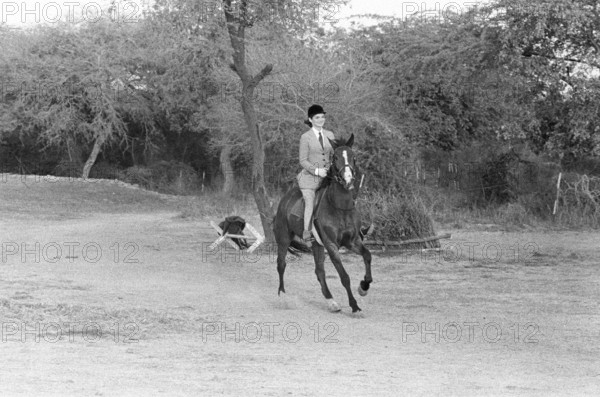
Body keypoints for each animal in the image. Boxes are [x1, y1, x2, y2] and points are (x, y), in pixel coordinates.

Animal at [274, 134, 372, 312]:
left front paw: (363, 287)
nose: (348, 180)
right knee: (281, 264)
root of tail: (285, 198)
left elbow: (367, 256)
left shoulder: (352, 241)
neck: (341, 207)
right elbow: (344, 277)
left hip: (316, 245)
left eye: (353, 157)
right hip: (284, 238)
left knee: (319, 271)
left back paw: (331, 301)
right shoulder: (332, 245)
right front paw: (354, 305)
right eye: (335, 157)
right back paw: (283, 297)